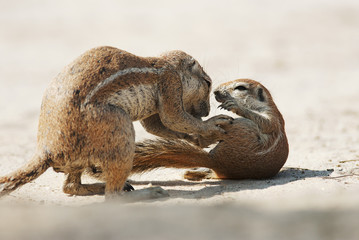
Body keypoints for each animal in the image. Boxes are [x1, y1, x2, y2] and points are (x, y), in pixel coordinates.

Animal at [0, 45, 231, 199]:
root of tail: (46, 151)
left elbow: (157, 126)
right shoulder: (170, 82)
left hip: (80, 159)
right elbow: (173, 118)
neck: (164, 64)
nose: (206, 110)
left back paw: (98, 187)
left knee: (70, 187)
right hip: (118, 126)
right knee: (112, 196)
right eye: (208, 83)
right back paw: (148, 192)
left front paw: (202, 139)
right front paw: (212, 125)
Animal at [123, 79, 290, 180]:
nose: (215, 92)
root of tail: (216, 161)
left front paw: (235, 106)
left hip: (240, 126)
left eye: (240, 87)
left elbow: (265, 122)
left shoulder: (272, 116)